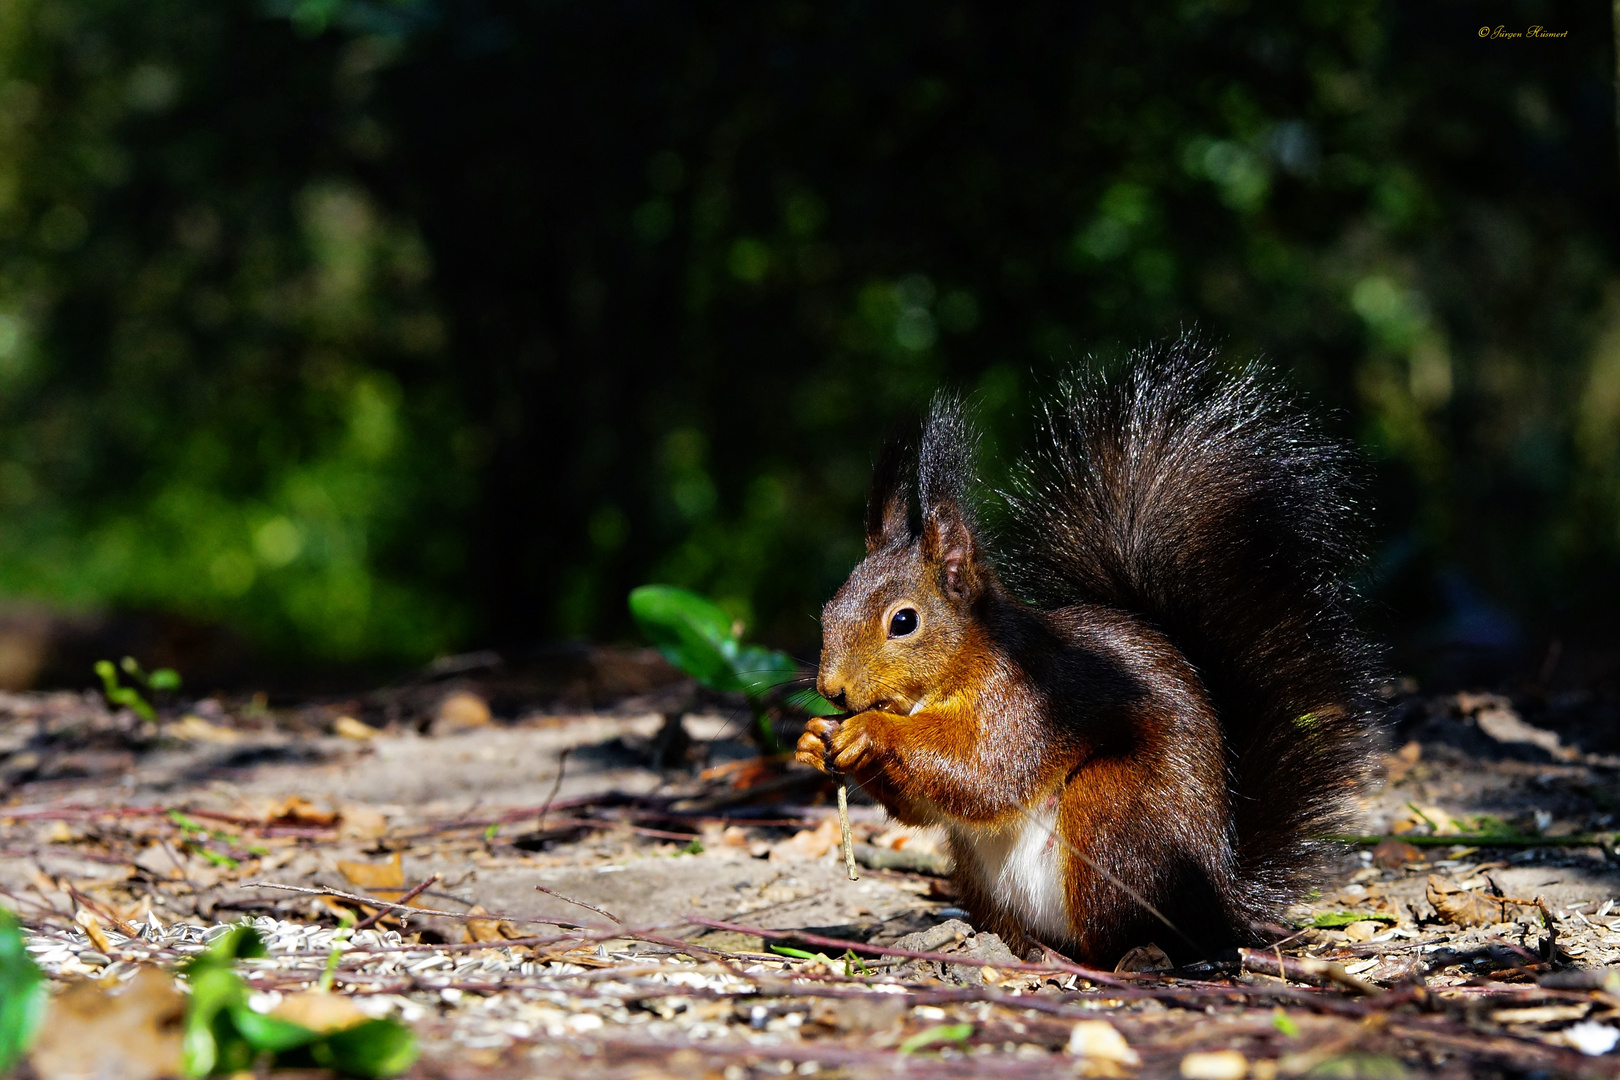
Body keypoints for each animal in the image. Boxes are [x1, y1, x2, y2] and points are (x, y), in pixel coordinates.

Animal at [790, 341, 1373, 965]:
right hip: (981, 872)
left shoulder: (1029, 698)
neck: (959, 667)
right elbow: (924, 808)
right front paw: (813, 738)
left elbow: (986, 771)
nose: (832, 691)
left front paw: (869, 731)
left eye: (904, 621)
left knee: (1121, 934)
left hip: (1112, 815)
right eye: (830, 605)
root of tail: (1220, 902)